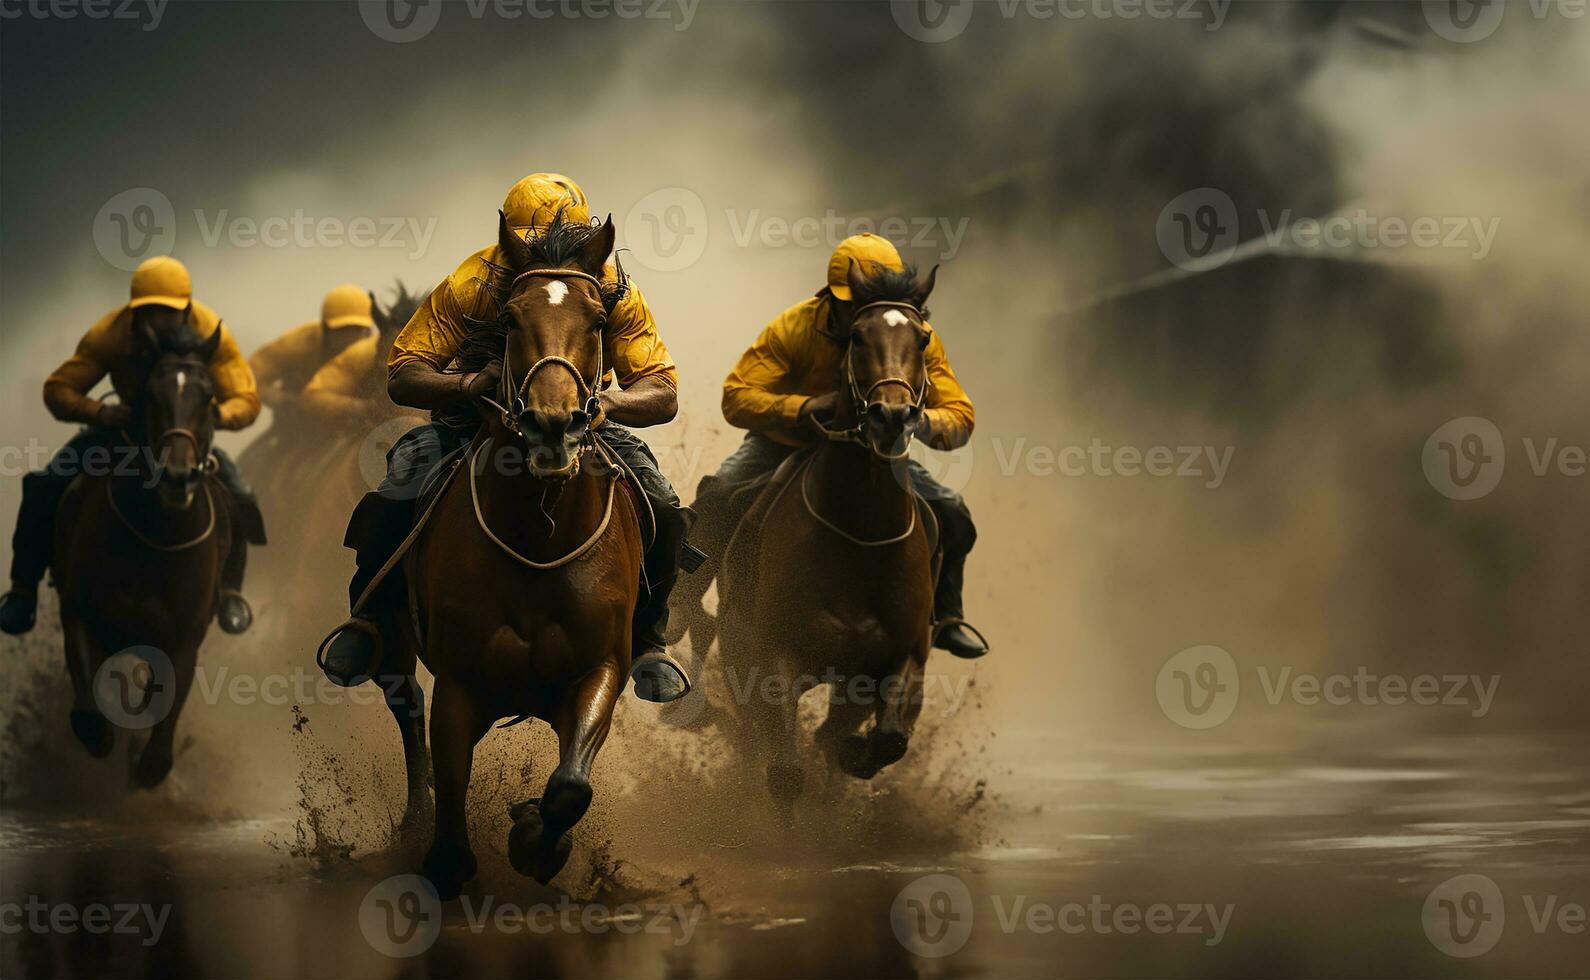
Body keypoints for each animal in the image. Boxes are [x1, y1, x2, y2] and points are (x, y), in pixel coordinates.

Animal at [52, 313, 233, 789]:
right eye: (151, 393)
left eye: (209, 396)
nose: (177, 476)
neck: (156, 539)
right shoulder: (82, 613)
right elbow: (92, 721)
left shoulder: (183, 641)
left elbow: (158, 748)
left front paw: (147, 761)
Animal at [375, 210, 642, 897]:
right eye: (513, 318)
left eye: (597, 320)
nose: (554, 425)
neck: (535, 538)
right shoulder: (460, 682)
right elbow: (449, 829)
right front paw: (447, 850)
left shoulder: (600, 666)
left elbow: (571, 786)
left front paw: (534, 839)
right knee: (402, 701)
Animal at [715, 260, 934, 827]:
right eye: (858, 335)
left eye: (923, 338)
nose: (891, 415)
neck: (861, 538)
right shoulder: (773, 657)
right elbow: (784, 770)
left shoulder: (899, 658)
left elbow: (887, 739)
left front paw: (853, 758)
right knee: (755, 742)